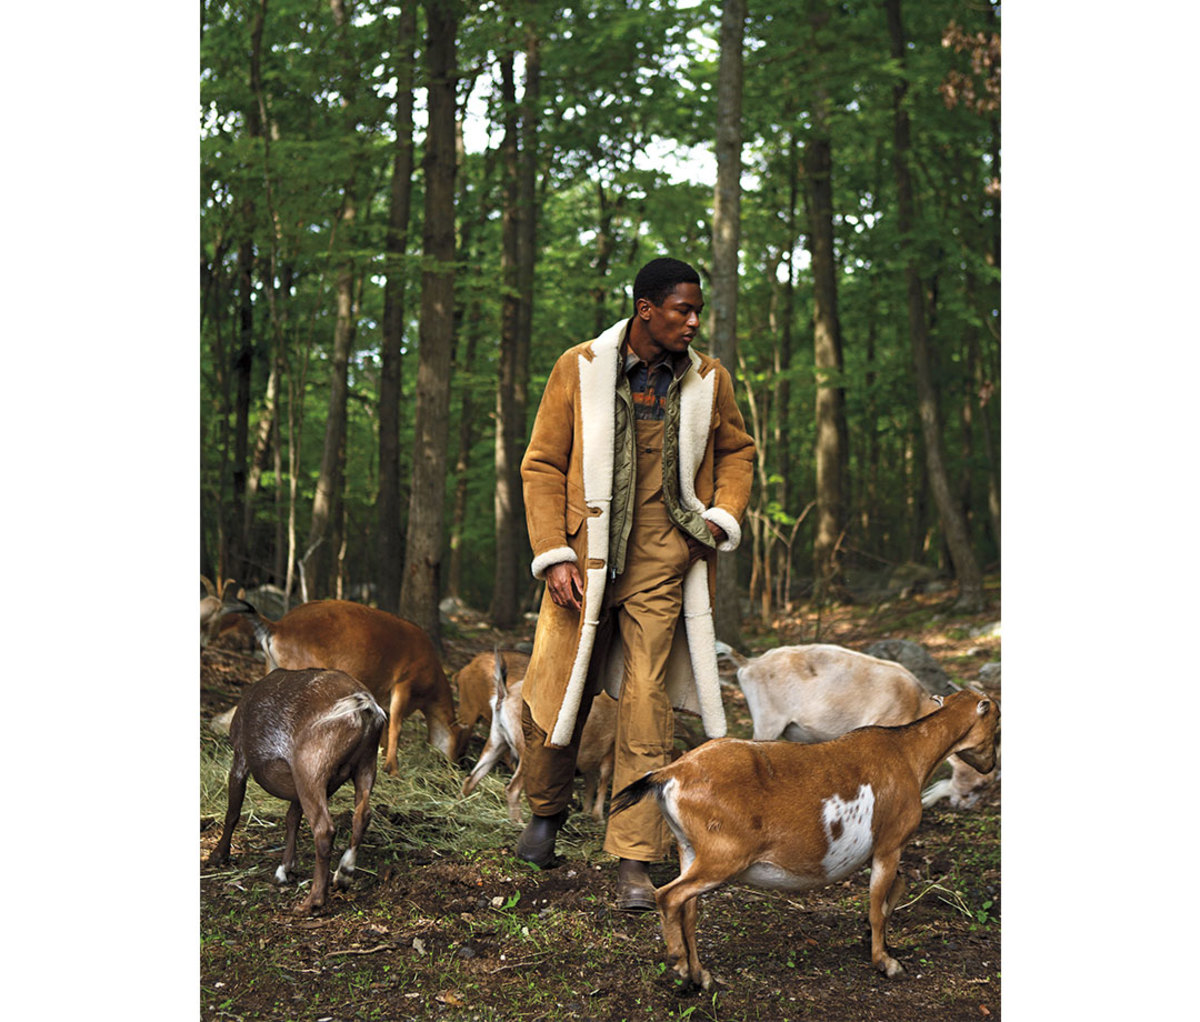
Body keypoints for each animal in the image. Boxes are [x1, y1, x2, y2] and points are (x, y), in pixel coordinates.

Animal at [206, 666, 384, 916]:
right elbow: (292, 818)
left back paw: (313, 901)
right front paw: (285, 869)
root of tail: (364, 708)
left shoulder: (240, 755)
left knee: (324, 829)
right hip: (365, 764)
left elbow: (233, 811)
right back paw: (344, 874)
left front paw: (217, 856)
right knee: (362, 814)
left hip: (311, 767)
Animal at [225, 594, 463, 772]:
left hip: (273, 668)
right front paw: (392, 768)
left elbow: (384, 731)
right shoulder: (404, 683)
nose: (455, 765)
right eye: (462, 739)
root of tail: (277, 627)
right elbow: (396, 726)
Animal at [460, 652, 619, 825]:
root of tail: (505, 695)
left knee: (472, 777)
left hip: (497, 741)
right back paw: (518, 823)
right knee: (512, 788)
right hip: (525, 752)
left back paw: (461, 806)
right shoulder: (609, 753)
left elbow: (591, 783)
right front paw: (598, 817)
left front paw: (586, 812)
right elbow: (602, 782)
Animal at [614, 690, 998, 988]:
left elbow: (895, 890)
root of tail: (671, 773)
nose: (990, 765)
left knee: (688, 908)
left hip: (689, 848)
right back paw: (679, 967)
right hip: (723, 856)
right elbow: (877, 904)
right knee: (668, 895)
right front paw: (885, 962)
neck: (908, 752)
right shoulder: (890, 843)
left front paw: (872, 939)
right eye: (996, 723)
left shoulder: (886, 850)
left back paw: (701, 976)